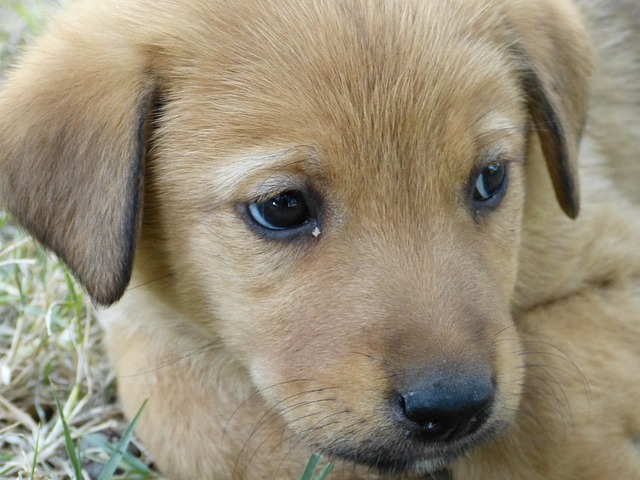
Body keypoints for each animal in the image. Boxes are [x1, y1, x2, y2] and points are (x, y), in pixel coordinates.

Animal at [0, 0, 636, 478]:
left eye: (491, 179)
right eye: (282, 208)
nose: (452, 409)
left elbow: (542, 401)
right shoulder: (140, 322)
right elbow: (194, 421)